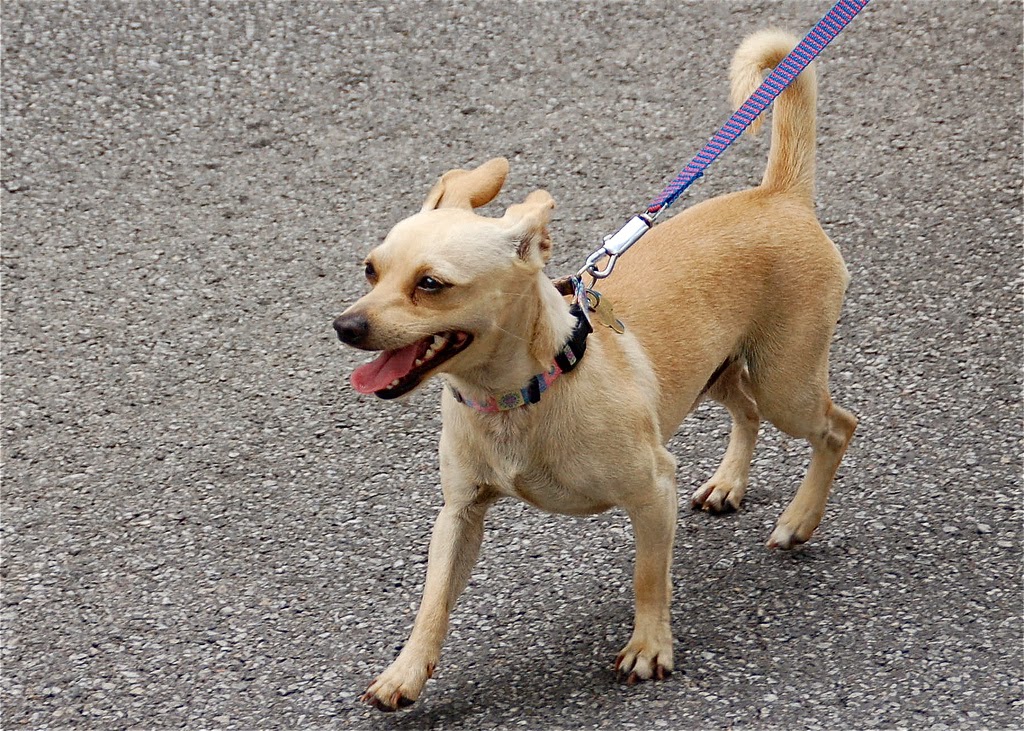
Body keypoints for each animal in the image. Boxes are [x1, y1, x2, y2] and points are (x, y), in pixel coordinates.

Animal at [335, 31, 856, 708]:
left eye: (431, 284)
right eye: (371, 270)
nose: (346, 327)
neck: (521, 396)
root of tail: (779, 195)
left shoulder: (652, 489)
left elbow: (648, 576)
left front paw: (650, 648)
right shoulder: (460, 513)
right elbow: (433, 601)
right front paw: (406, 670)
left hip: (785, 382)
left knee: (837, 427)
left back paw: (798, 521)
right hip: (717, 373)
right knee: (747, 411)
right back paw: (728, 484)